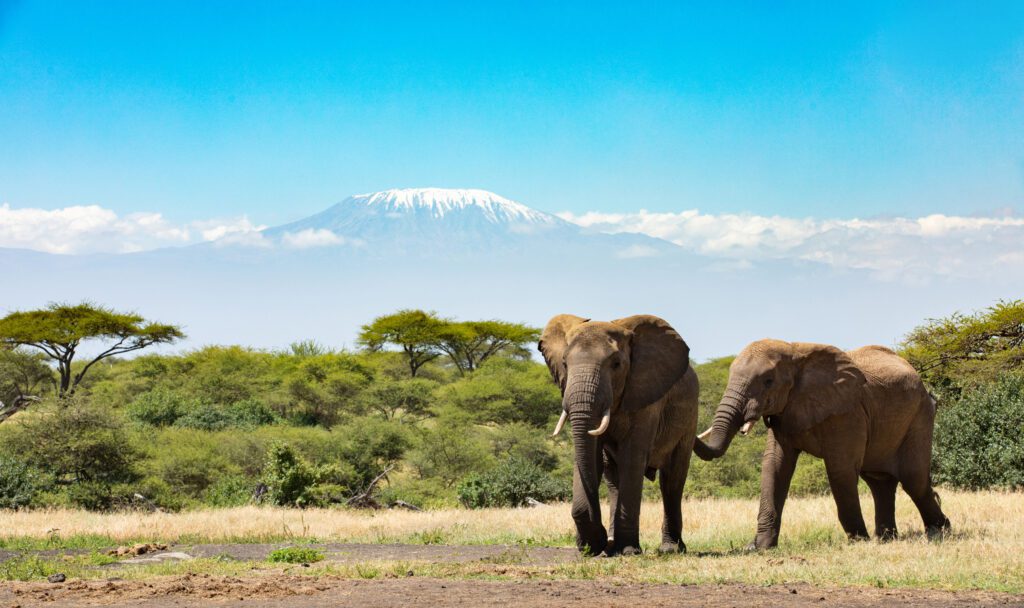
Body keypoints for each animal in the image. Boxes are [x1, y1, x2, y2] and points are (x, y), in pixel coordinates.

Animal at [539, 314, 700, 556]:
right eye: (565, 364)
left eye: (616, 365)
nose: (599, 541)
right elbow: (592, 458)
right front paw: (596, 547)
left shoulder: (646, 397)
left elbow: (632, 459)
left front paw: (628, 550)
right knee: (613, 479)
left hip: (689, 420)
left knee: (672, 480)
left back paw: (670, 549)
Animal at [694, 339, 951, 550]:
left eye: (768, 381)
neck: (796, 351)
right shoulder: (785, 411)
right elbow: (774, 467)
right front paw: (758, 547)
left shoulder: (848, 412)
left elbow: (840, 470)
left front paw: (859, 541)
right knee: (879, 482)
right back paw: (887, 539)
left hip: (920, 415)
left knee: (913, 479)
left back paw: (939, 533)